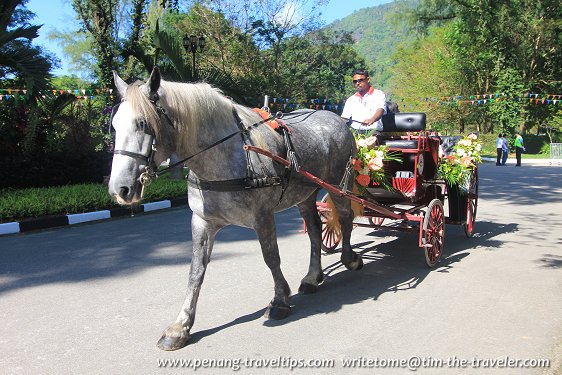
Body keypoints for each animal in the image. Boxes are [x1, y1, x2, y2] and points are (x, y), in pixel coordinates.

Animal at [107, 68, 364, 352]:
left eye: (142, 123)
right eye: (114, 125)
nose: (119, 189)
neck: (222, 159)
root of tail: (337, 118)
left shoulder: (263, 217)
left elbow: (271, 258)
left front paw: (279, 300)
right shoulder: (202, 221)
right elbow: (195, 271)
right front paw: (180, 326)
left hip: (340, 185)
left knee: (346, 218)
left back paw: (350, 258)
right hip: (306, 194)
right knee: (316, 229)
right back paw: (312, 277)